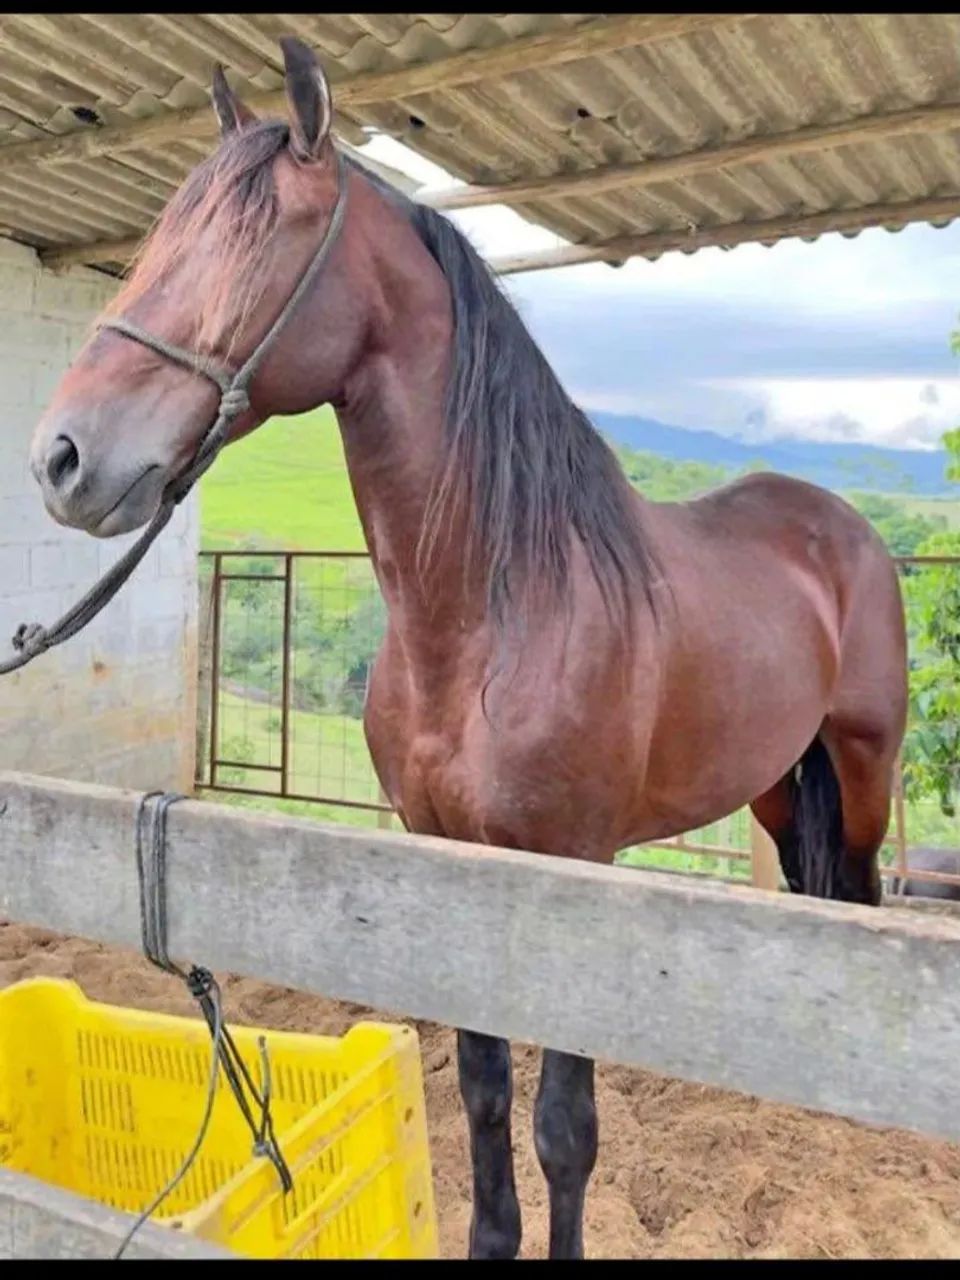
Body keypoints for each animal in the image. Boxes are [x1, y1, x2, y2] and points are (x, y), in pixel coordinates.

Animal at [28, 38, 908, 1260]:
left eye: (258, 241)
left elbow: (565, 1129)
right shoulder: (445, 863)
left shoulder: (573, 866)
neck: (498, 612)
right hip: (777, 778)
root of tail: (842, 526)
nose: (62, 457)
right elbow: (487, 1097)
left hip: (865, 764)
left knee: (861, 896)